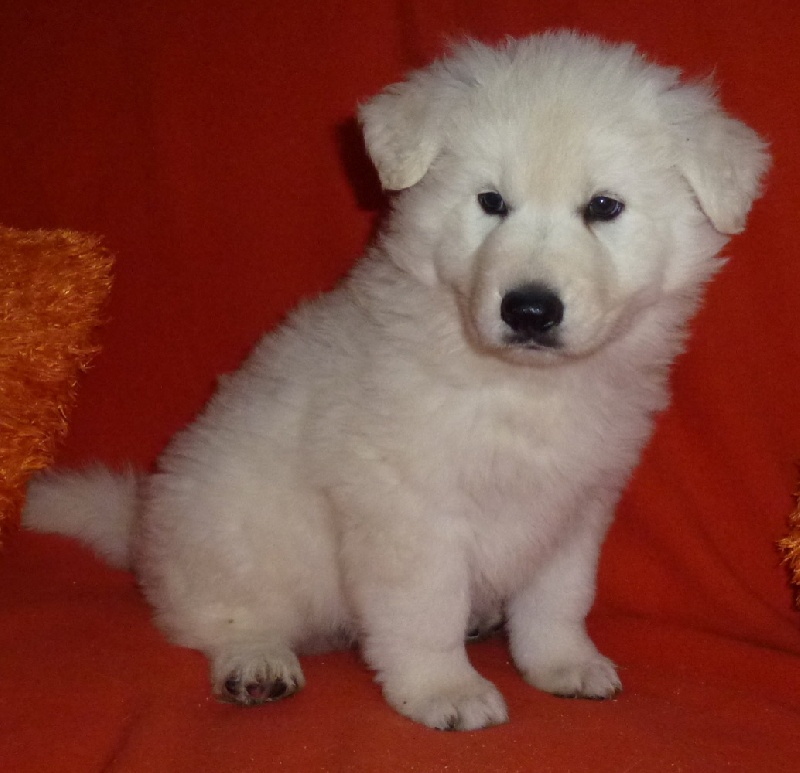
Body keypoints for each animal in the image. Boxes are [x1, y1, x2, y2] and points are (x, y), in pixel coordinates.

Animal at [24, 31, 769, 730]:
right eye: (491, 201)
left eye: (604, 207)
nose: (528, 309)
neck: (519, 386)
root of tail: (139, 527)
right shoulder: (410, 508)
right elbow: (425, 608)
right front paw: (445, 690)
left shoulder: (575, 505)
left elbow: (558, 598)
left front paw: (563, 664)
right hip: (234, 535)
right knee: (214, 617)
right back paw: (256, 664)